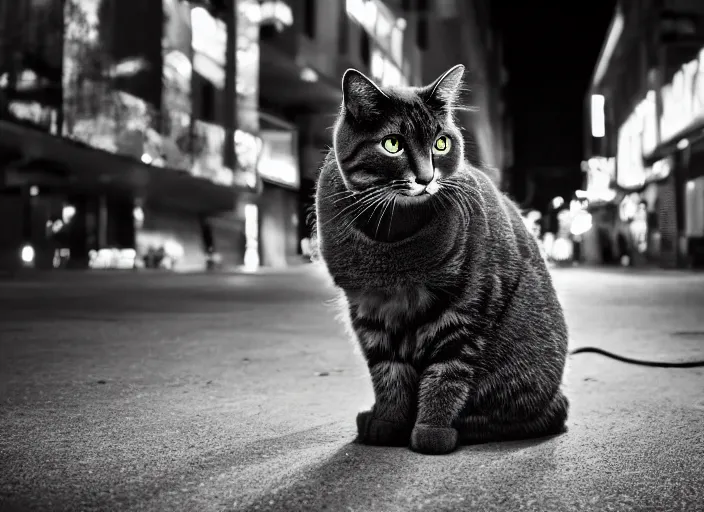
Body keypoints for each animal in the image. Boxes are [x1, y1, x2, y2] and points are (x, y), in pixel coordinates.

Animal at [316, 65, 568, 456]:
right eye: (392, 144)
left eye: (441, 143)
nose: (426, 177)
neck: (393, 233)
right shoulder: (370, 310)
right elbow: (388, 374)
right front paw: (388, 422)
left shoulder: (466, 310)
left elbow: (446, 375)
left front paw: (431, 429)